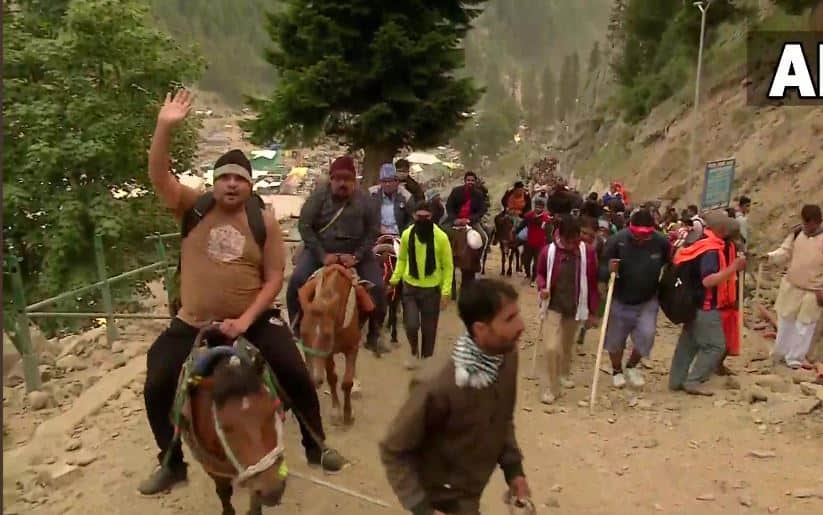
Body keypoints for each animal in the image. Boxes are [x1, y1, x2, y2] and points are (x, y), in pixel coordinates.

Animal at [180, 328, 290, 515]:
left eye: (272, 409)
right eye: (225, 427)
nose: (272, 490)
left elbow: (255, 502)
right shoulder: (211, 468)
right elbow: (223, 492)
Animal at [294, 264, 366, 426]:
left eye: (327, 335)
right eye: (303, 333)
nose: (315, 379)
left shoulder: (352, 348)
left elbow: (346, 382)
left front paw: (348, 414)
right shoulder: (327, 353)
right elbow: (332, 378)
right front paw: (336, 411)